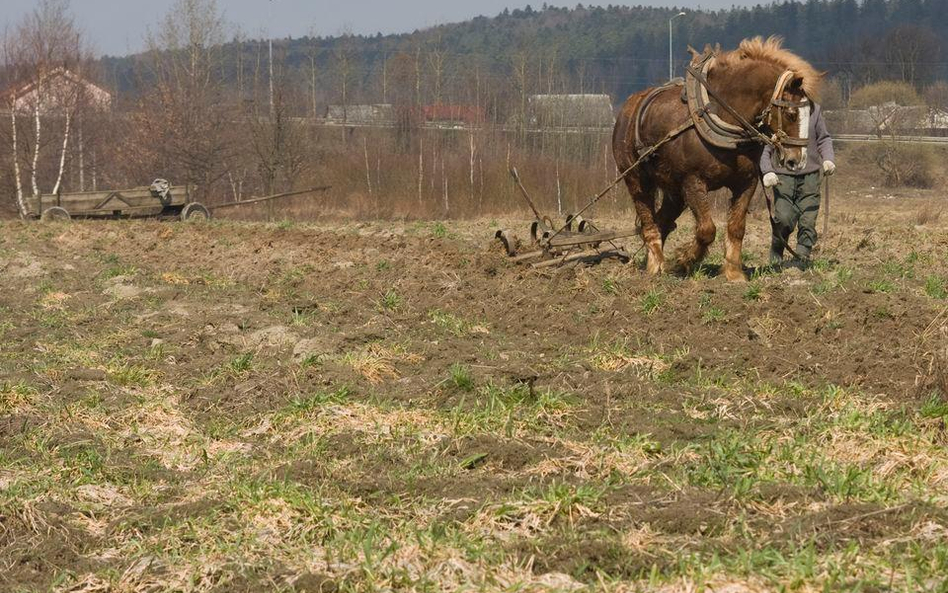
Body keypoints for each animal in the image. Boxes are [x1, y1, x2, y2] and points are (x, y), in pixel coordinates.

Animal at [616, 35, 824, 280]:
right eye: (791, 114)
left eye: (810, 112)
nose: (797, 160)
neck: (722, 115)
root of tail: (628, 107)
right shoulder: (692, 181)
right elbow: (707, 230)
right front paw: (684, 260)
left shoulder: (747, 182)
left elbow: (736, 227)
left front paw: (734, 273)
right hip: (636, 179)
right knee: (648, 221)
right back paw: (657, 265)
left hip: (673, 190)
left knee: (662, 221)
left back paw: (654, 263)